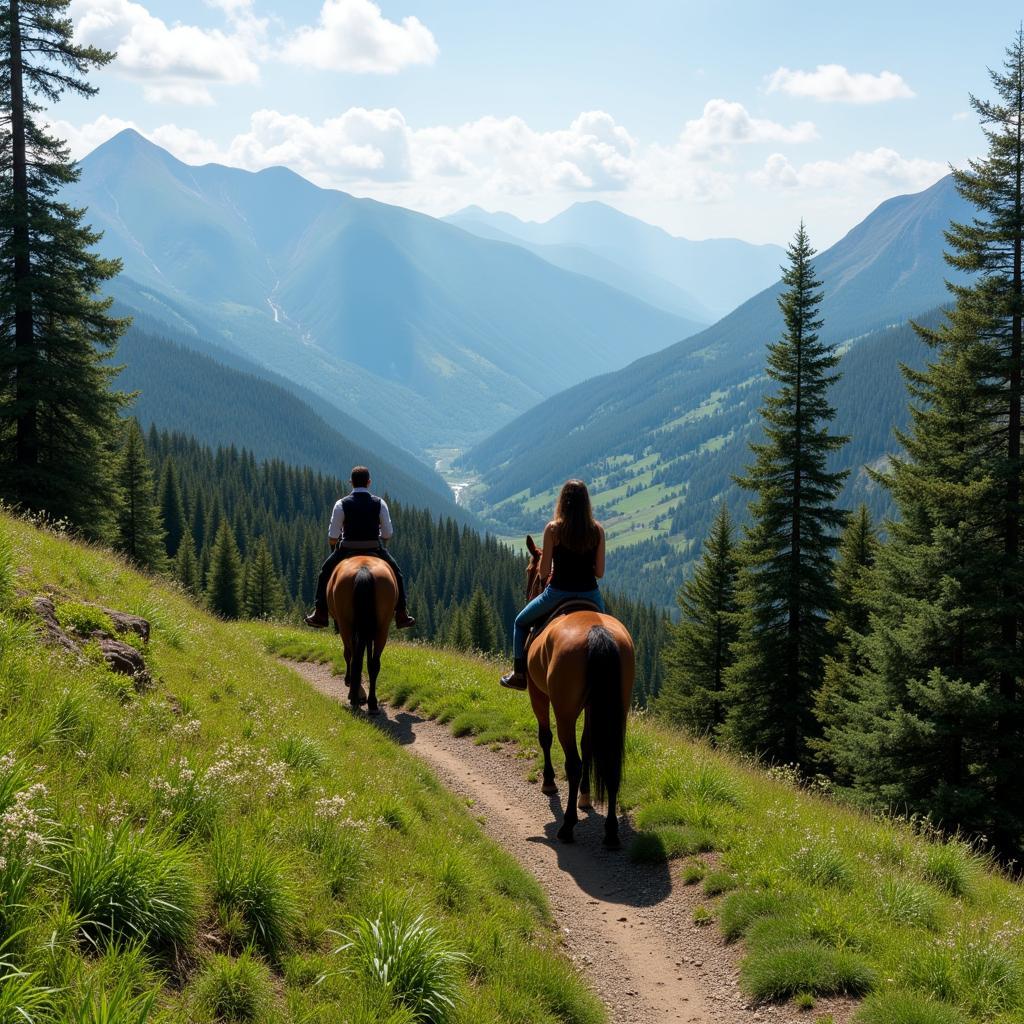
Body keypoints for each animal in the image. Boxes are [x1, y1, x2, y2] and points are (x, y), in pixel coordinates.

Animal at [327, 557, 395, 716]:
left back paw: (355, 698)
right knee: (373, 663)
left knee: (353, 659)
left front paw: (352, 686)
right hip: (382, 628)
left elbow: (349, 654)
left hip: (346, 625)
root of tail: (364, 569)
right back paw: (372, 703)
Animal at [524, 536, 634, 847]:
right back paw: (611, 831)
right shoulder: (592, 706)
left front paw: (549, 783)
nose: (527, 593)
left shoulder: (538, 694)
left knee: (572, 762)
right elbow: (588, 744)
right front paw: (586, 797)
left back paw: (567, 825)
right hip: (616, 711)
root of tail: (598, 632)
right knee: (610, 763)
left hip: (564, 711)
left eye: (528, 571)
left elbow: (545, 736)